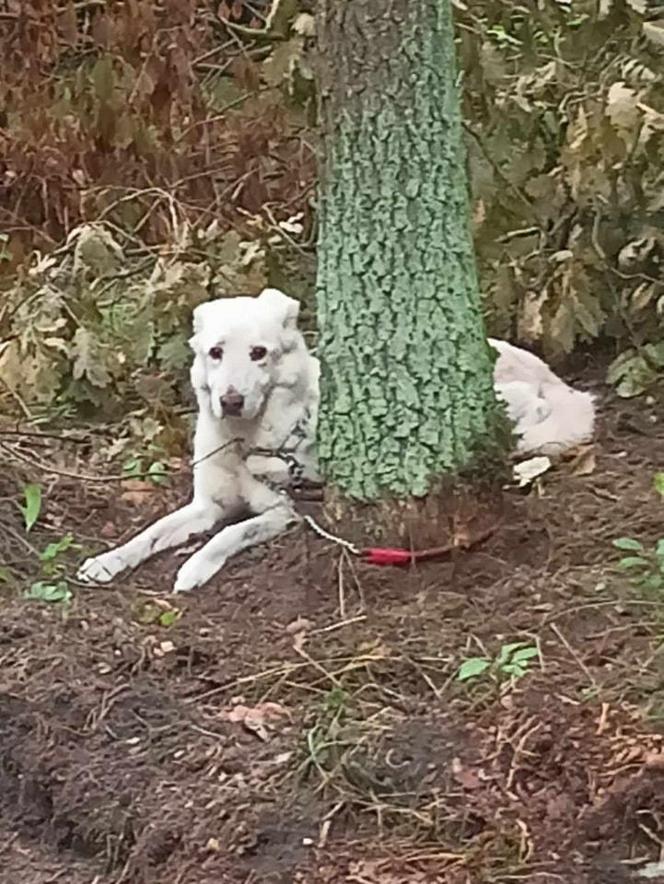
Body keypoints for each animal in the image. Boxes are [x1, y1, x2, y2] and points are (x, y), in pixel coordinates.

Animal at [78, 290, 596, 592]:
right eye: (216, 353)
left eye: (259, 353)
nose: (230, 400)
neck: (246, 442)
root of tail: (547, 373)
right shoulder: (205, 504)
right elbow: (149, 533)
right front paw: (107, 561)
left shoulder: (284, 511)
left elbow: (228, 533)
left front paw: (193, 569)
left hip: (507, 399)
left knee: (536, 418)